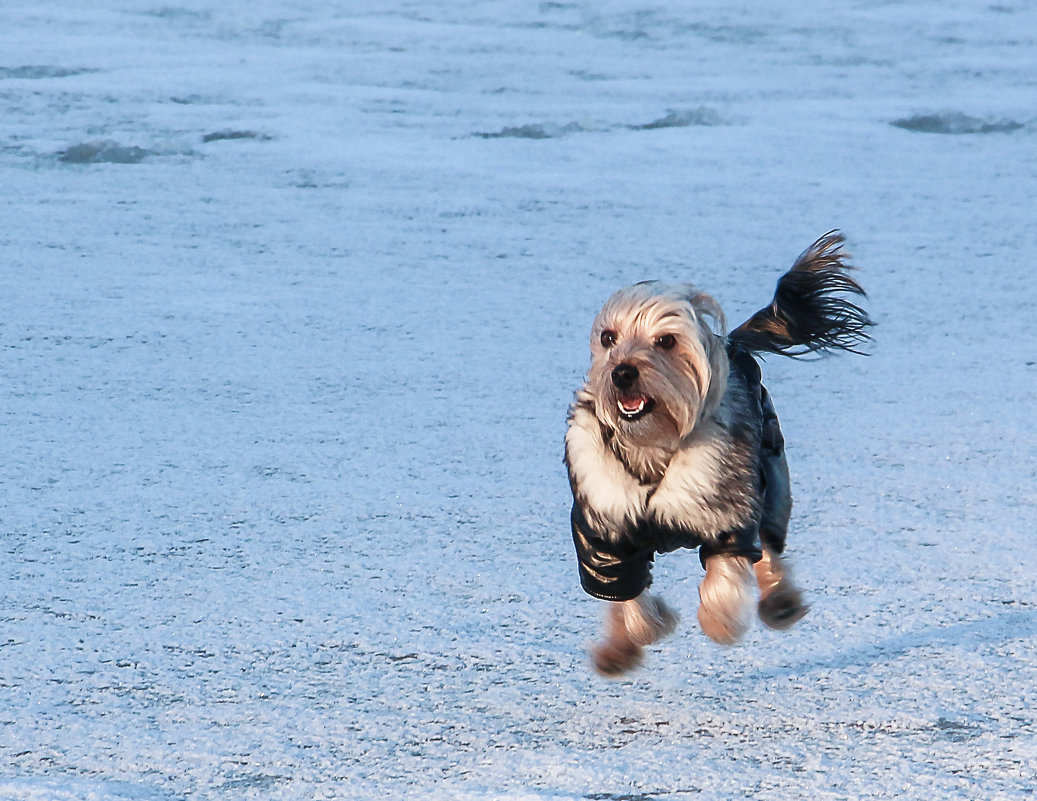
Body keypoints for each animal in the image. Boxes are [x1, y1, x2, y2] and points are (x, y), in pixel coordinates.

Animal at [564, 231, 871, 676]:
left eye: (666, 340)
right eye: (608, 337)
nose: (621, 372)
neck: (655, 444)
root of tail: (731, 343)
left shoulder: (727, 510)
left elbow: (726, 573)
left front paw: (719, 621)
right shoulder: (605, 533)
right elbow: (624, 594)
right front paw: (627, 641)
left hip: (769, 466)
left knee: (768, 544)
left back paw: (780, 600)